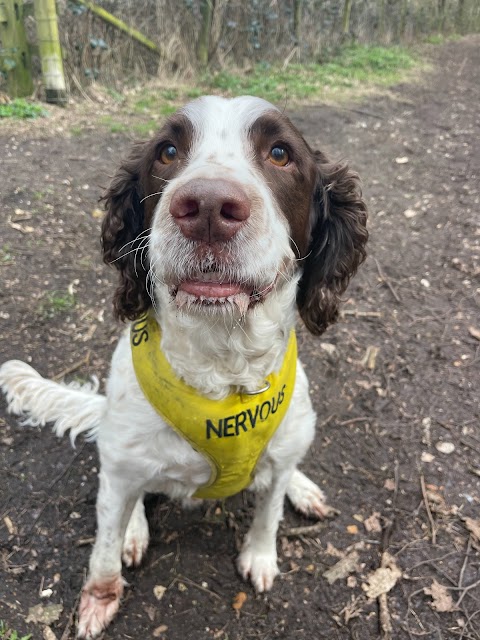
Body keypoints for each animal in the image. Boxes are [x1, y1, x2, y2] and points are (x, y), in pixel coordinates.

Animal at [0, 94, 368, 636]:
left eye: (280, 153)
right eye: (167, 151)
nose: (208, 207)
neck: (222, 368)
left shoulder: (281, 447)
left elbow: (269, 511)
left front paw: (261, 556)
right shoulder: (121, 467)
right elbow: (103, 548)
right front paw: (99, 598)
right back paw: (134, 530)